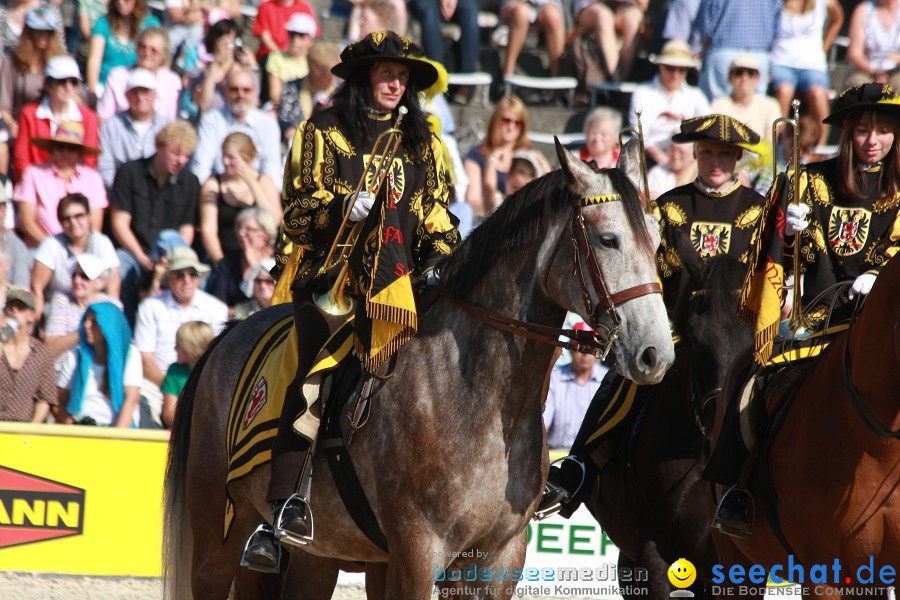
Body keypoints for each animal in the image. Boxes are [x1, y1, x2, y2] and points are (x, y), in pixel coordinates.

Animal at [165, 142, 680, 600]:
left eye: (657, 243)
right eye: (608, 239)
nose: (656, 354)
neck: (480, 399)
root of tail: (227, 334)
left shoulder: (497, 560)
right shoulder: (417, 553)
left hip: (319, 555)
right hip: (217, 536)